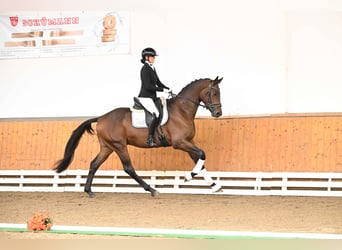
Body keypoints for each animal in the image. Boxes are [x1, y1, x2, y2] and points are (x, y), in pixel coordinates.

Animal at [54, 76, 223, 197]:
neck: (182, 110)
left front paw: (215, 186)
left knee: (94, 164)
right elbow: (202, 154)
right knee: (128, 168)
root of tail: (101, 117)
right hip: (119, 146)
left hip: (107, 147)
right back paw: (152, 190)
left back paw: (89, 191)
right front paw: (188, 176)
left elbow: (200, 160)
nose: (218, 113)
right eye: (214, 93)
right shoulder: (180, 142)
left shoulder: (188, 141)